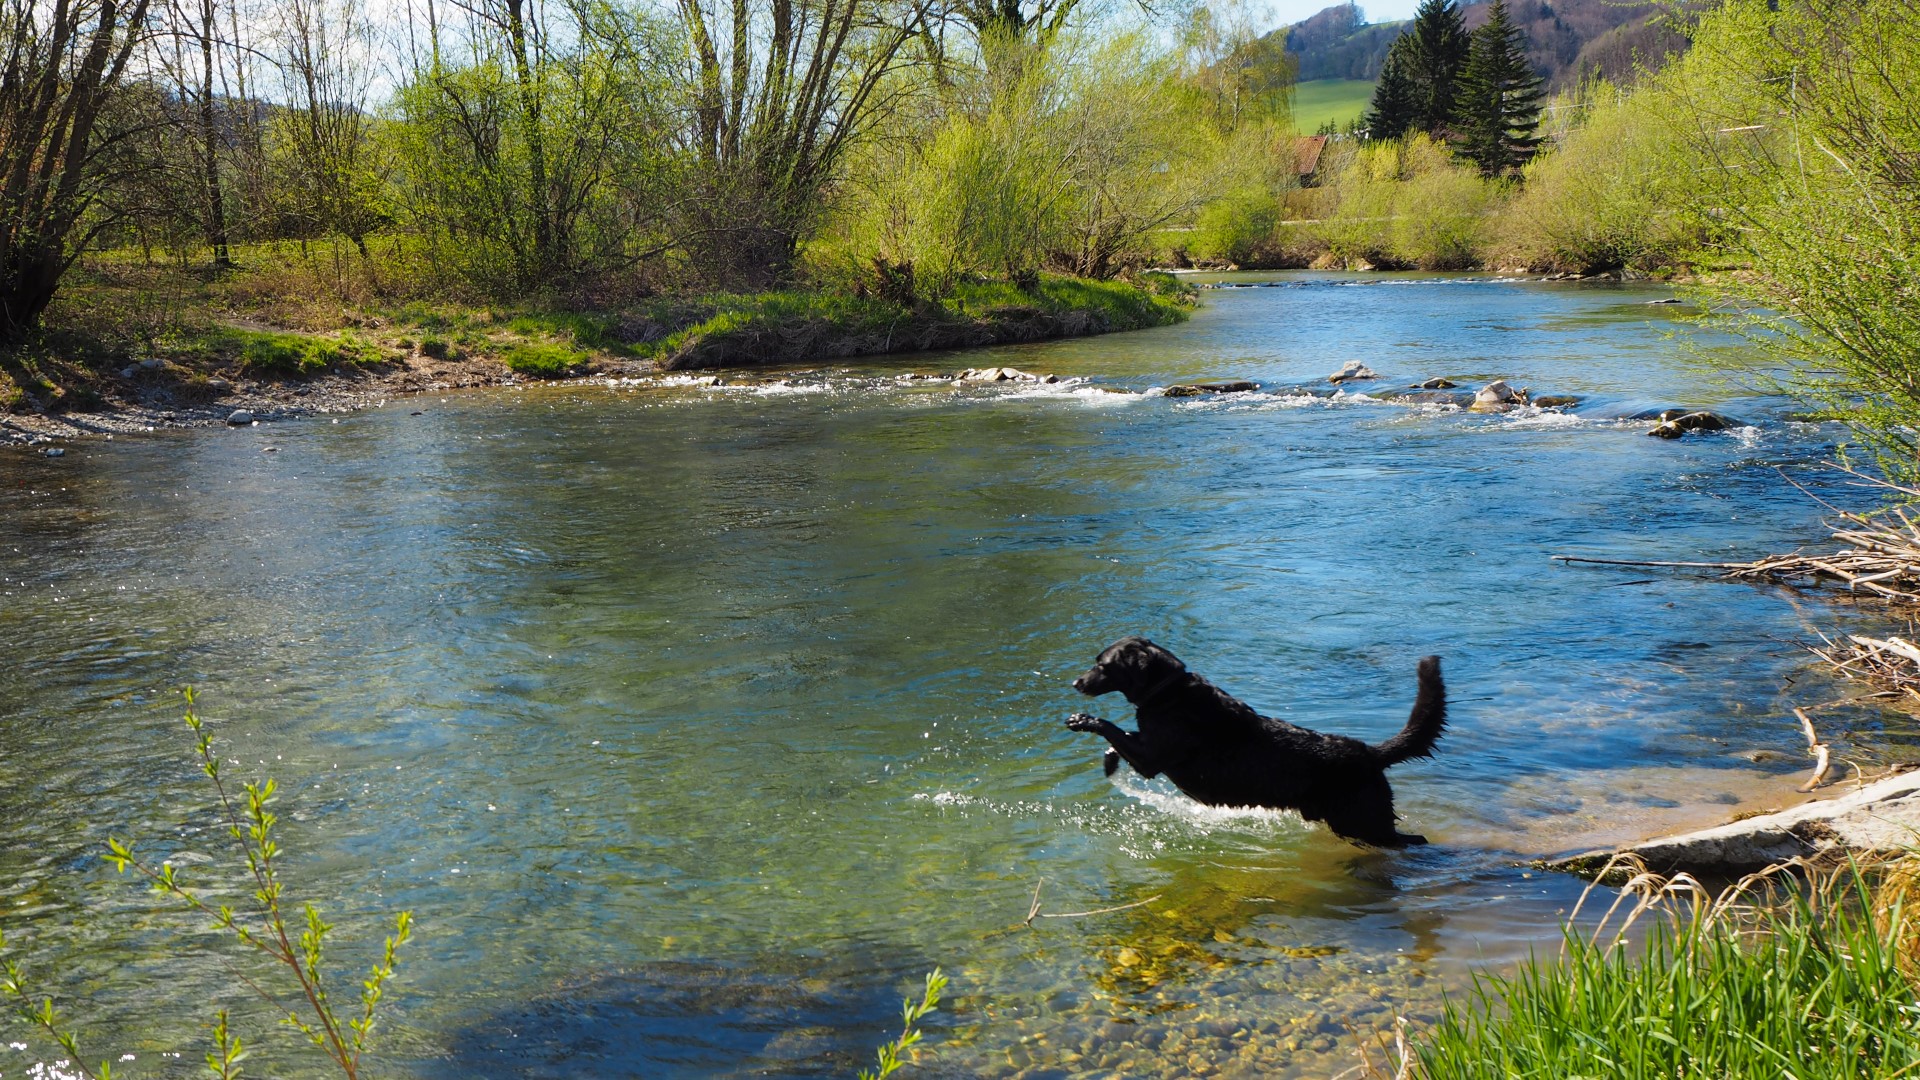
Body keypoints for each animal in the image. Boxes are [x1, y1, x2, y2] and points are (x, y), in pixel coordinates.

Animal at [1067, 634, 1443, 845]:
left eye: (1103, 665)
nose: (1075, 683)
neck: (1169, 693)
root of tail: (1368, 752)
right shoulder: (1145, 747)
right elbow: (1119, 739)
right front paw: (1108, 761)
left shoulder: (1151, 759)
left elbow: (1111, 728)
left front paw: (1081, 720)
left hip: (1362, 822)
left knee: (1412, 840)